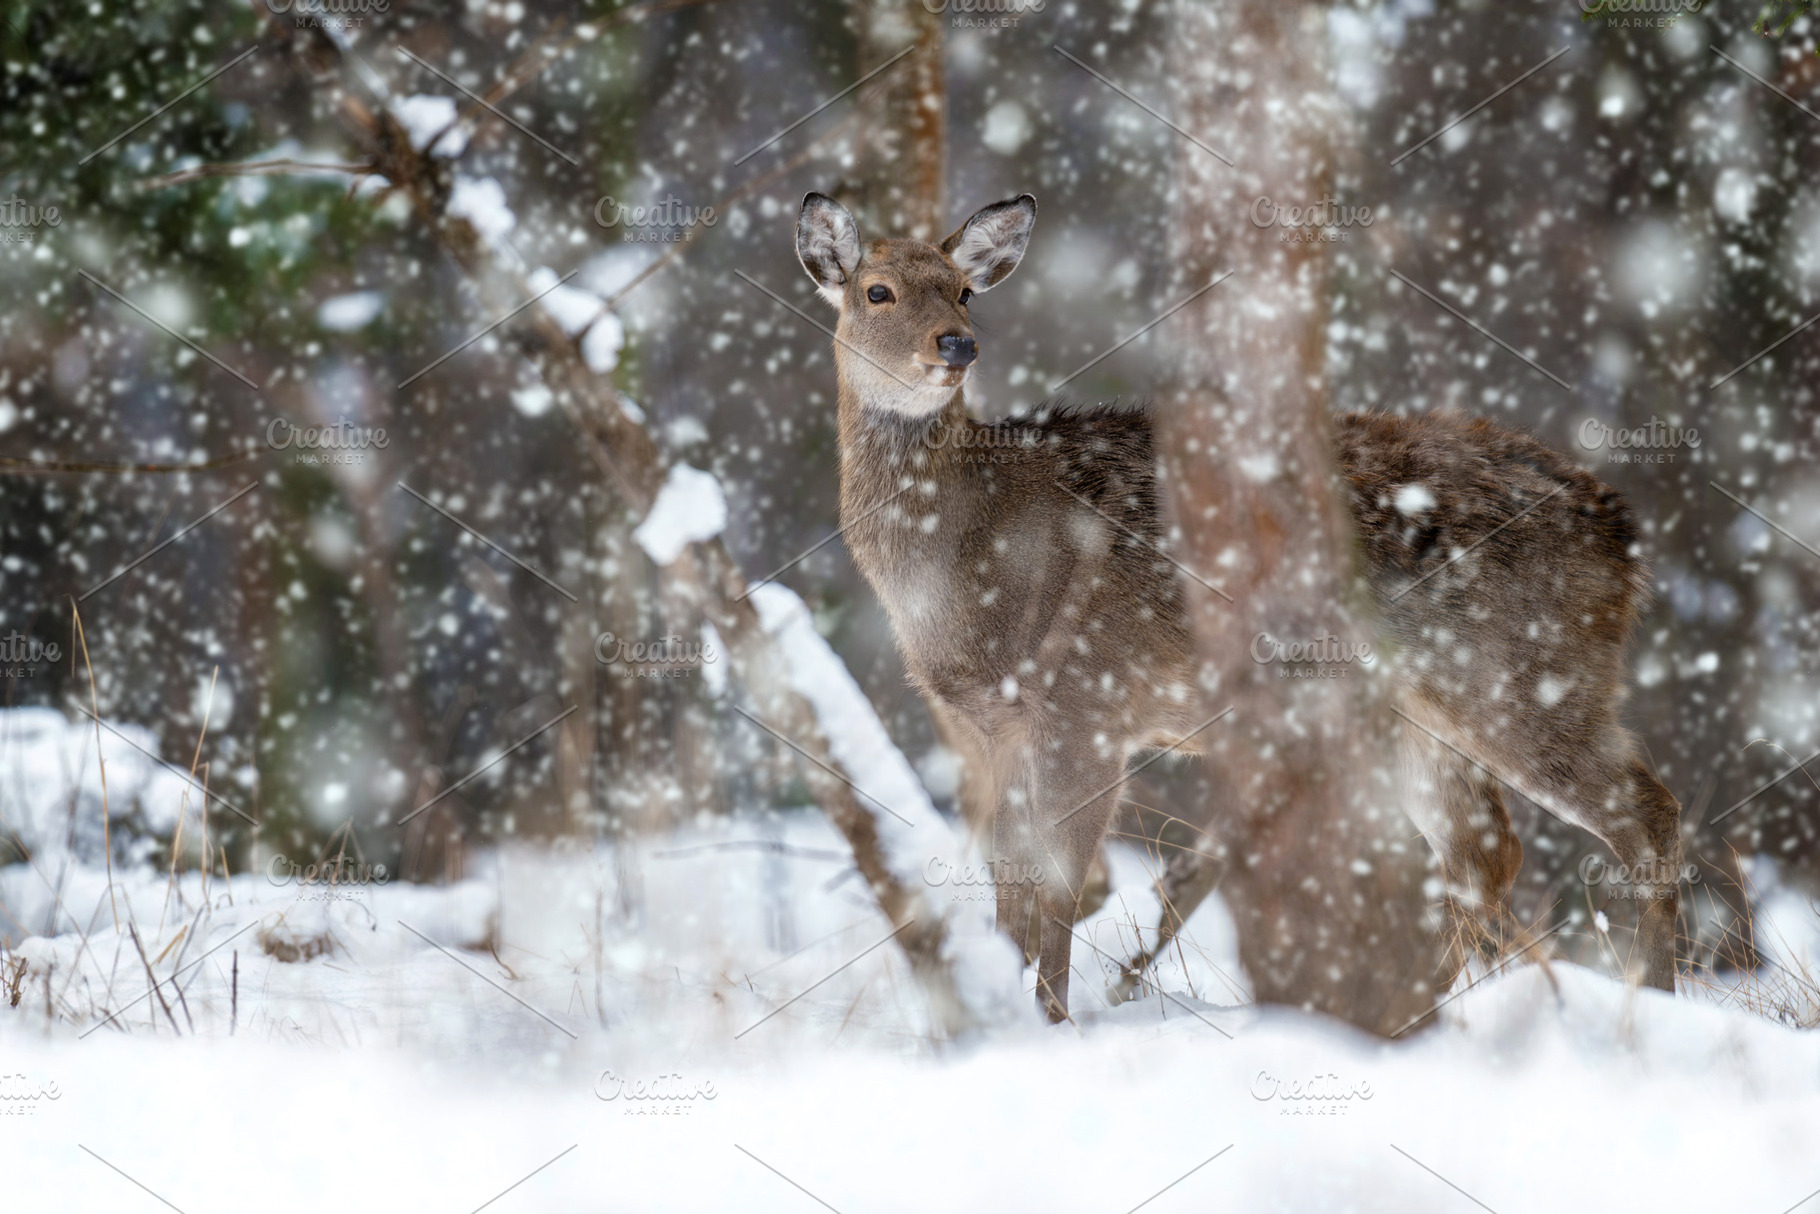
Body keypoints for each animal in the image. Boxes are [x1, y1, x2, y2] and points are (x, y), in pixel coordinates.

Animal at [794, 190, 1683, 1024]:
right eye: (877, 291)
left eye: (964, 291)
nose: (956, 345)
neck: (975, 565)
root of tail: (1626, 537)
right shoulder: (992, 729)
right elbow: (1008, 888)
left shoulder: (1089, 705)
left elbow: (1058, 888)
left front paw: (1053, 1020)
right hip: (1429, 722)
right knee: (1483, 852)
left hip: (1528, 679)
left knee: (1644, 810)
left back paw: (1655, 1001)